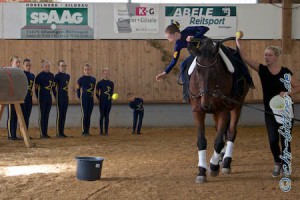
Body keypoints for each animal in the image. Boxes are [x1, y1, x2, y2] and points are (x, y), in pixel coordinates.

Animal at [189, 37, 250, 183]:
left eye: (215, 70)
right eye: (197, 70)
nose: (205, 103)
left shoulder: (224, 110)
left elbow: (218, 142)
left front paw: (213, 166)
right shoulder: (198, 111)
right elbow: (201, 141)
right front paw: (201, 171)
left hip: (236, 106)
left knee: (231, 132)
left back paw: (226, 162)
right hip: (215, 112)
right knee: (220, 130)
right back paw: (221, 157)